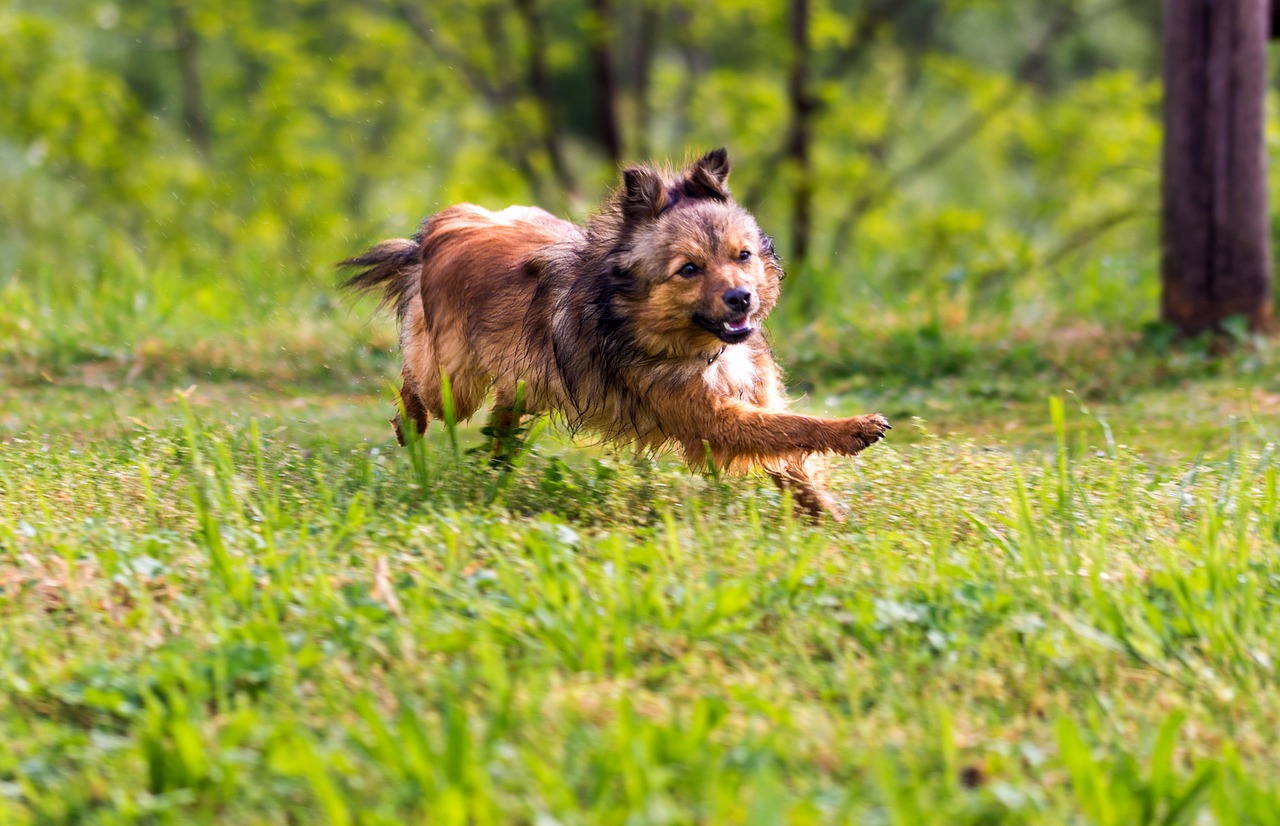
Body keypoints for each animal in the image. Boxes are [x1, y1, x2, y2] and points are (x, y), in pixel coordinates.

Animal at [337, 149, 890, 514]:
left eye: (743, 256)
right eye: (689, 269)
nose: (741, 299)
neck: (700, 347)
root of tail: (438, 233)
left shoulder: (752, 395)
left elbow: (791, 459)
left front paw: (825, 515)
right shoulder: (710, 419)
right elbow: (793, 428)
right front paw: (853, 428)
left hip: (524, 375)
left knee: (504, 410)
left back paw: (499, 451)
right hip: (454, 384)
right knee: (416, 384)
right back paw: (410, 423)